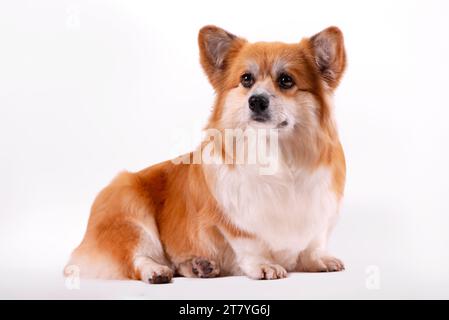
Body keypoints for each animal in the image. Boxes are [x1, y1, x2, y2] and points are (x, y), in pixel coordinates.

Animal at [65, 25, 346, 284]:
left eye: (286, 80)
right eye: (246, 79)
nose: (256, 100)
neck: (275, 156)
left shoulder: (320, 213)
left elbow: (313, 244)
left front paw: (318, 260)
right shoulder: (233, 223)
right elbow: (250, 244)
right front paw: (264, 265)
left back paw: (200, 266)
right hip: (130, 215)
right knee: (136, 257)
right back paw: (156, 271)